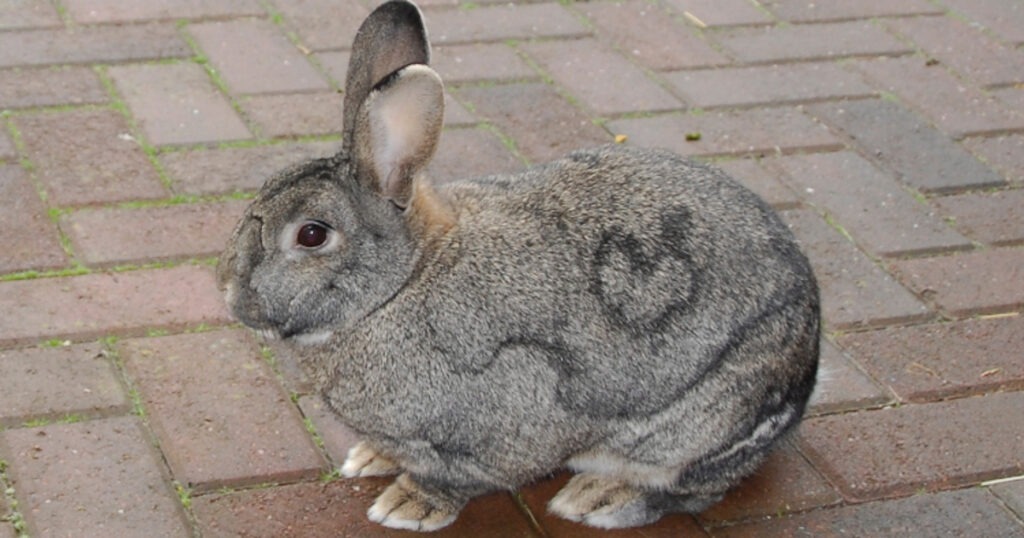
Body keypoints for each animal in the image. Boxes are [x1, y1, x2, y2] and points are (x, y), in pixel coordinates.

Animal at [216, 0, 820, 531]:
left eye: (311, 235)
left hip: (693, 429)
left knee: (695, 488)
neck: (400, 284)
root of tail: (807, 368)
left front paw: (407, 505)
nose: (227, 291)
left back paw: (599, 498)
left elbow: (459, 479)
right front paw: (370, 458)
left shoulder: (500, 426)